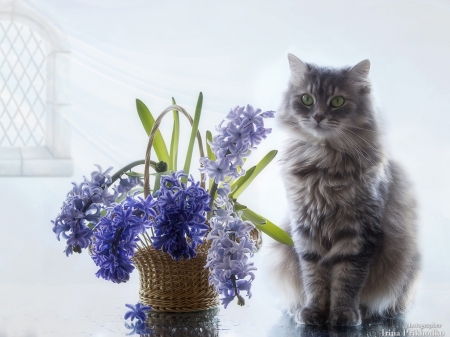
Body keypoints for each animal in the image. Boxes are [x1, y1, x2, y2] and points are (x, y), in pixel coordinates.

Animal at [268, 53, 418, 326]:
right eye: (307, 99)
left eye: (337, 101)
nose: (318, 116)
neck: (322, 163)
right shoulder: (305, 229)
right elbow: (314, 278)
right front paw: (314, 312)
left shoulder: (359, 233)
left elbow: (347, 280)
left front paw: (343, 314)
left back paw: (367, 313)